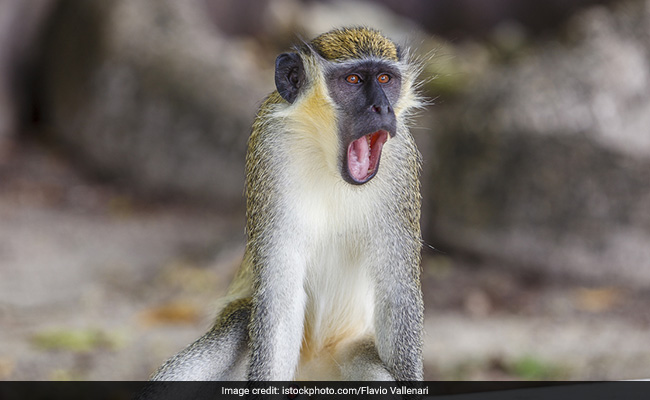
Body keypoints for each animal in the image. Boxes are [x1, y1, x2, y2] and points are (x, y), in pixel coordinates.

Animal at [151, 26, 425, 382]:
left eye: (384, 78)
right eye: (353, 80)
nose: (382, 108)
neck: (327, 157)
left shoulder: (401, 159)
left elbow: (397, 295)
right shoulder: (270, 144)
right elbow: (280, 299)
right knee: (241, 320)